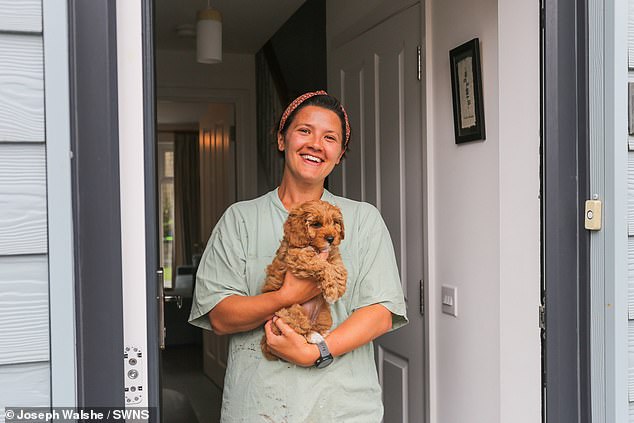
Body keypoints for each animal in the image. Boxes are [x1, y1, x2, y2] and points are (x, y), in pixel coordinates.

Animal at [260, 200, 346, 362]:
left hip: (324, 314)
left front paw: (339, 287)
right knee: (302, 329)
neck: (315, 246)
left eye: (335, 223)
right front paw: (331, 291)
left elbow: (338, 267)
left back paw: (323, 333)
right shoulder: (298, 256)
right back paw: (314, 336)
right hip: (290, 312)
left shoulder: (332, 253)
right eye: (316, 224)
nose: (331, 239)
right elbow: (323, 265)